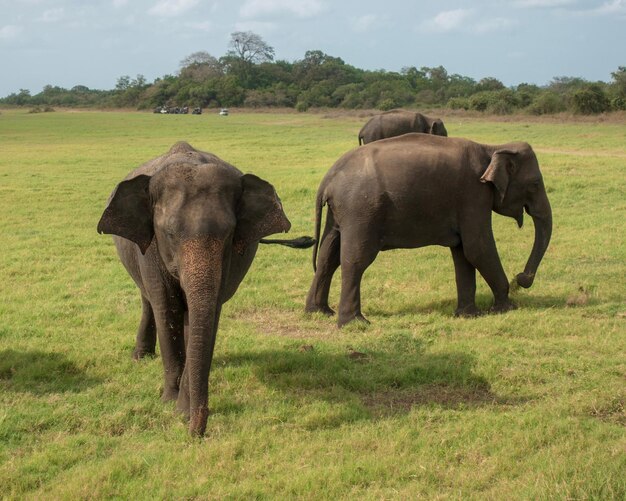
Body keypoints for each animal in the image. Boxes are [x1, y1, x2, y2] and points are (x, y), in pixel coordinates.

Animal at [98, 140, 312, 434]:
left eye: (230, 234)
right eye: (169, 234)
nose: (196, 434)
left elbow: (208, 316)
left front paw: (180, 409)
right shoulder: (150, 250)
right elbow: (167, 308)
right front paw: (169, 402)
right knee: (148, 300)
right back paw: (140, 357)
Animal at [306, 133, 552, 328]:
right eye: (535, 184)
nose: (521, 278)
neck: (491, 148)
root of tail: (328, 179)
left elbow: (463, 252)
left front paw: (468, 315)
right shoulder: (474, 194)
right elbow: (478, 248)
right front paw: (507, 308)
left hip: (339, 211)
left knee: (328, 255)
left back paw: (319, 312)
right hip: (361, 209)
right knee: (355, 259)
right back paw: (355, 323)